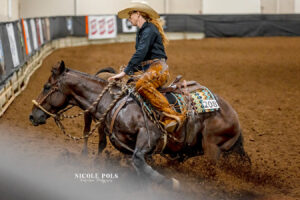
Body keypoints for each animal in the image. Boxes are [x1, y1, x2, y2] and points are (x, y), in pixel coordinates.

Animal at [29, 61, 250, 189]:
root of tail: (232, 114)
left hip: (212, 146)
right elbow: (138, 168)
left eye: (47, 86)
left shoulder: (147, 137)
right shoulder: (128, 148)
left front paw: (170, 183)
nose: (32, 116)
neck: (114, 103)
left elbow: (140, 162)